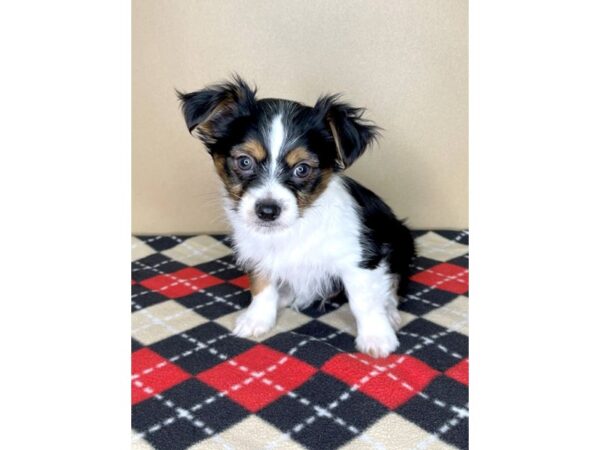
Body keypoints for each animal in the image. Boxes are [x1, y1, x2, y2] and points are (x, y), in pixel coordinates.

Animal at [176, 75, 414, 356]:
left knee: (394, 282)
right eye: (244, 162)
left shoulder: (360, 258)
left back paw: (390, 311)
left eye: (302, 169)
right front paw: (257, 319)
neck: (292, 229)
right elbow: (261, 285)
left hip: (400, 242)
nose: (267, 211)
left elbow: (364, 300)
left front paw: (376, 337)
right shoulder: (258, 253)